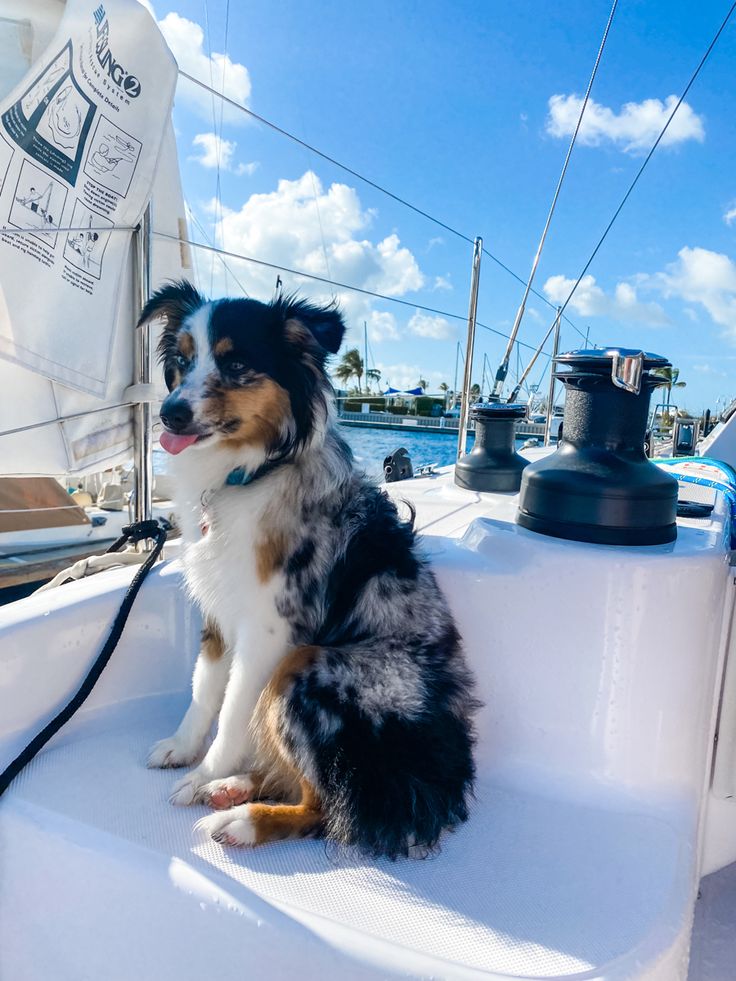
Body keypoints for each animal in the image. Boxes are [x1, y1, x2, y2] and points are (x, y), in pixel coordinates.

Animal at [143, 280, 478, 852]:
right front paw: (184, 751)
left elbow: (233, 709)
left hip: (309, 667)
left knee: (328, 806)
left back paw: (242, 818)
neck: (249, 471)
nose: (169, 413)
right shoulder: (218, 609)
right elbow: (204, 690)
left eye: (236, 364)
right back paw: (236, 788)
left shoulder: (270, 629)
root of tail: (440, 781)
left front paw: (204, 771)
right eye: (182, 361)